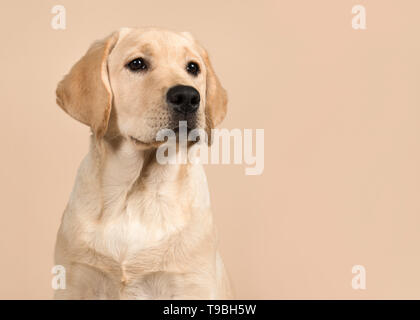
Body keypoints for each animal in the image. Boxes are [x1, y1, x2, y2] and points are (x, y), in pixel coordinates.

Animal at [53, 27, 233, 300]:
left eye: (193, 67)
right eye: (137, 64)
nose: (188, 96)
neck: (136, 193)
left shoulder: (190, 283)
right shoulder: (74, 281)